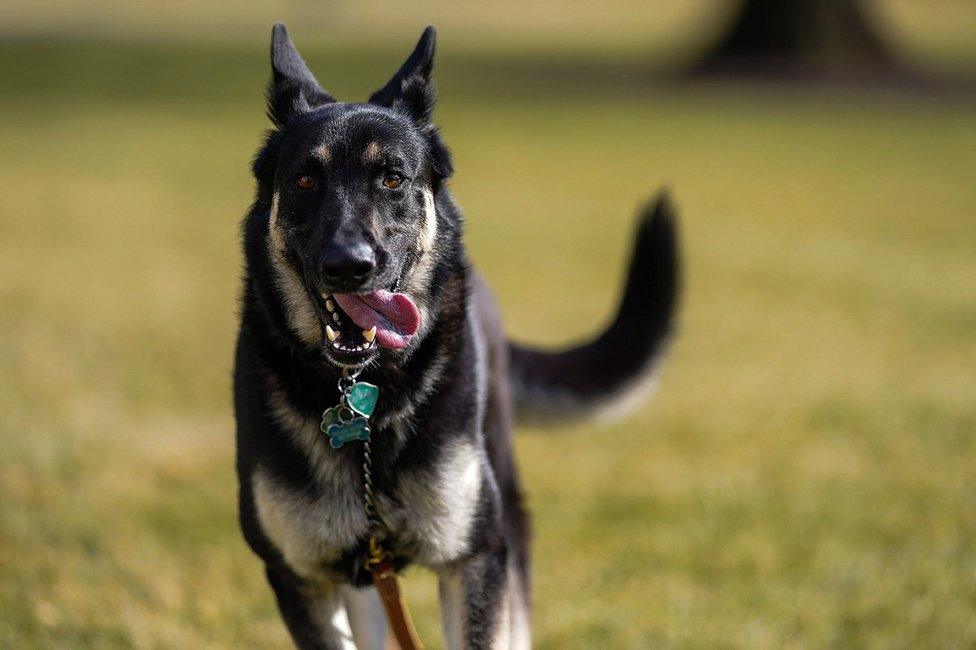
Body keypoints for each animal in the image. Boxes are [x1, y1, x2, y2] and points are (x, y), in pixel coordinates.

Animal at [235, 22, 680, 644]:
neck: (367, 398)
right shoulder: (301, 577)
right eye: (304, 180)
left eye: (392, 179)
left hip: (505, 507)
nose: (348, 266)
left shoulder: (474, 559)